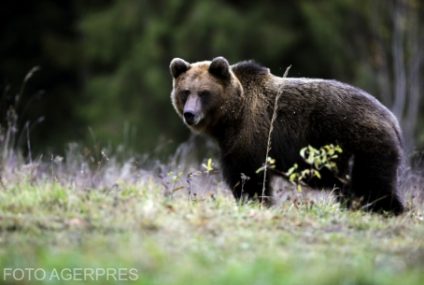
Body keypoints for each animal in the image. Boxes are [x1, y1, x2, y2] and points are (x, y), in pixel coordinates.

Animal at [169, 55, 404, 213]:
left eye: (204, 93)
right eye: (185, 92)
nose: (190, 114)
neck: (231, 118)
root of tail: (392, 120)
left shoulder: (252, 137)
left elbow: (248, 178)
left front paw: (255, 202)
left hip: (362, 144)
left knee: (373, 187)